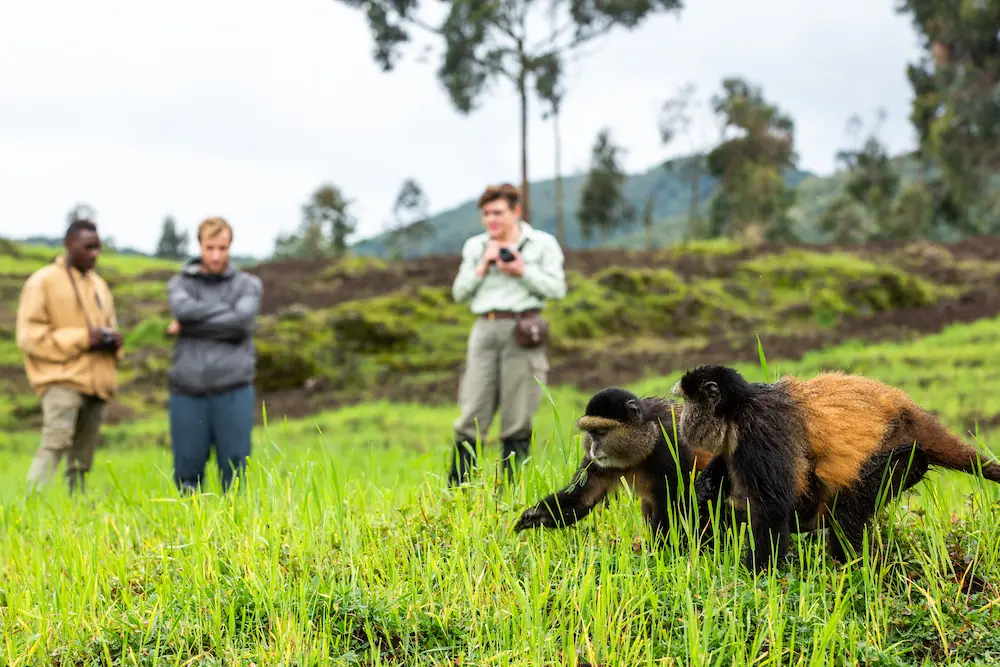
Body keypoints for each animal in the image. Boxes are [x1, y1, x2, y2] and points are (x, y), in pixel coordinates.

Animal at [514, 387, 712, 545]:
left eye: (601, 432)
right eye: (591, 433)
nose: (593, 448)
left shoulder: (671, 447)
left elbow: (673, 505)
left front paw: (659, 552)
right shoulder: (596, 463)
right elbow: (583, 498)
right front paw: (533, 516)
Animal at [673, 364, 1000, 572]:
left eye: (688, 402)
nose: (682, 419)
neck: (738, 406)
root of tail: (914, 416)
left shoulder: (758, 430)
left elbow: (772, 510)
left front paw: (756, 575)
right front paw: (706, 485)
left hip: (896, 458)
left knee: (847, 513)